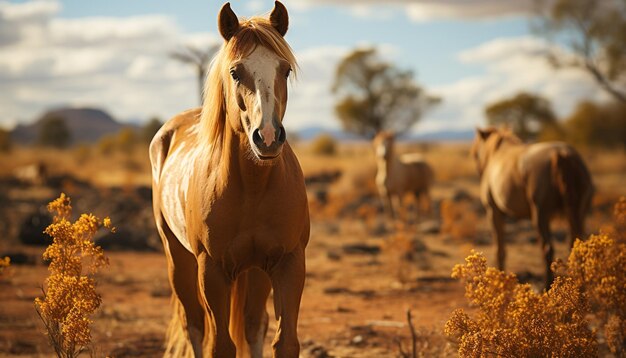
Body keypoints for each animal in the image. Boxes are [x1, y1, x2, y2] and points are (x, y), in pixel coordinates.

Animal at [149, 1, 310, 356]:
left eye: (285, 70)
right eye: (235, 72)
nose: (267, 138)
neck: (252, 187)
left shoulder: (288, 262)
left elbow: (284, 341)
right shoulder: (213, 270)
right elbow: (221, 344)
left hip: (256, 272)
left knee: (253, 325)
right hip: (178, 259)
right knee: (195, 325)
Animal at [470, 127, 592, 290]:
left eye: (474, 153)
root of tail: (562, 154)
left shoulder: (494, 212)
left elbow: (500, 249)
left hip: (540, 216)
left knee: (547, 249)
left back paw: (547, 286)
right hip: (577, 213)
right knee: (576, 247)